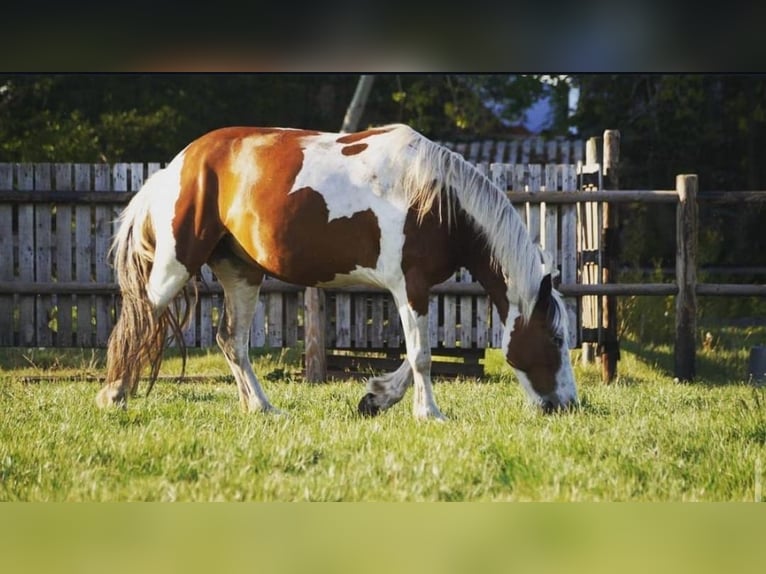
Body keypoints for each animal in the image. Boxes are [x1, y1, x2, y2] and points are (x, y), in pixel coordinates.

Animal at [96, 123, 578, 419]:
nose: (568, 404)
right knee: (140, 319)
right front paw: (429, 414)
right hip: (175, 266)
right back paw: (114, 395)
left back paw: (262, 407)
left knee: (231, 341)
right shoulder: (410, 285)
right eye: (555, 339)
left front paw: (376, 399)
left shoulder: (413, 290)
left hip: (242, 274)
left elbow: (412, 356)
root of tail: (177, 167)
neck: (436, 197)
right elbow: (421, 355)